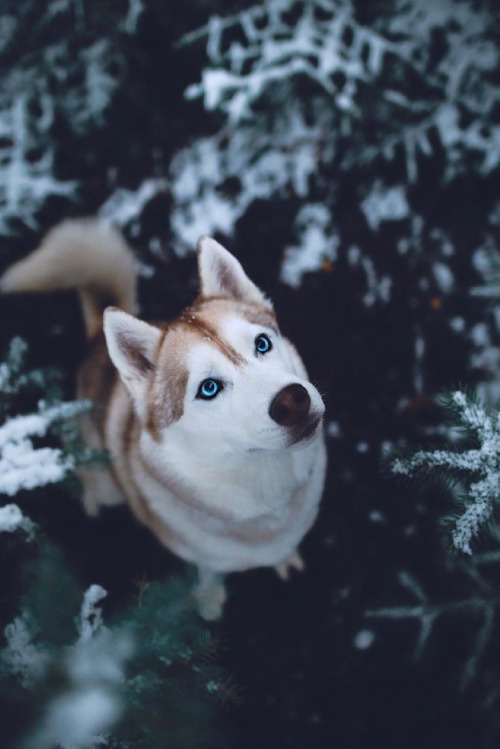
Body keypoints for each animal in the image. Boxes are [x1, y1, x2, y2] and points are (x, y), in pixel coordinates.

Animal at [0, 221, 326, 620]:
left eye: (262, 344)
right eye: (209, 388)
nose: (293, 401)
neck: (266, 494)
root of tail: (95, 344)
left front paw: (286, 558)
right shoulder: (201, 554)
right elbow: (209, 572)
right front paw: (209, 600)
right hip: (105, 479)